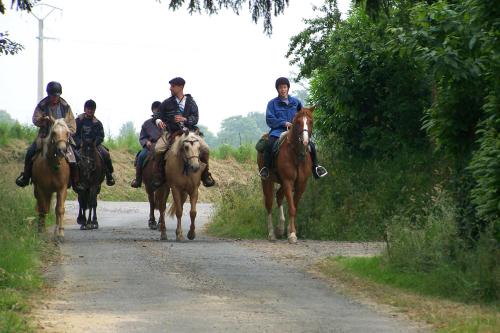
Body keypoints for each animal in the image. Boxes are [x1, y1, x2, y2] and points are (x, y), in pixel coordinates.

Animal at [258, 107, 312, 243]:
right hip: (267, 181)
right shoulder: (288, 181)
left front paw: (290, 231)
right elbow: (292, 207)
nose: (305, 141)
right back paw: (272, 233)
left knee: (279, 196)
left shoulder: (301, 184)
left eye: (311, 121)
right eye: (298, 122)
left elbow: (294, 206)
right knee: (269, 203)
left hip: (282, 183)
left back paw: (280, 228)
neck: (296, 154)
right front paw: (292, 234)